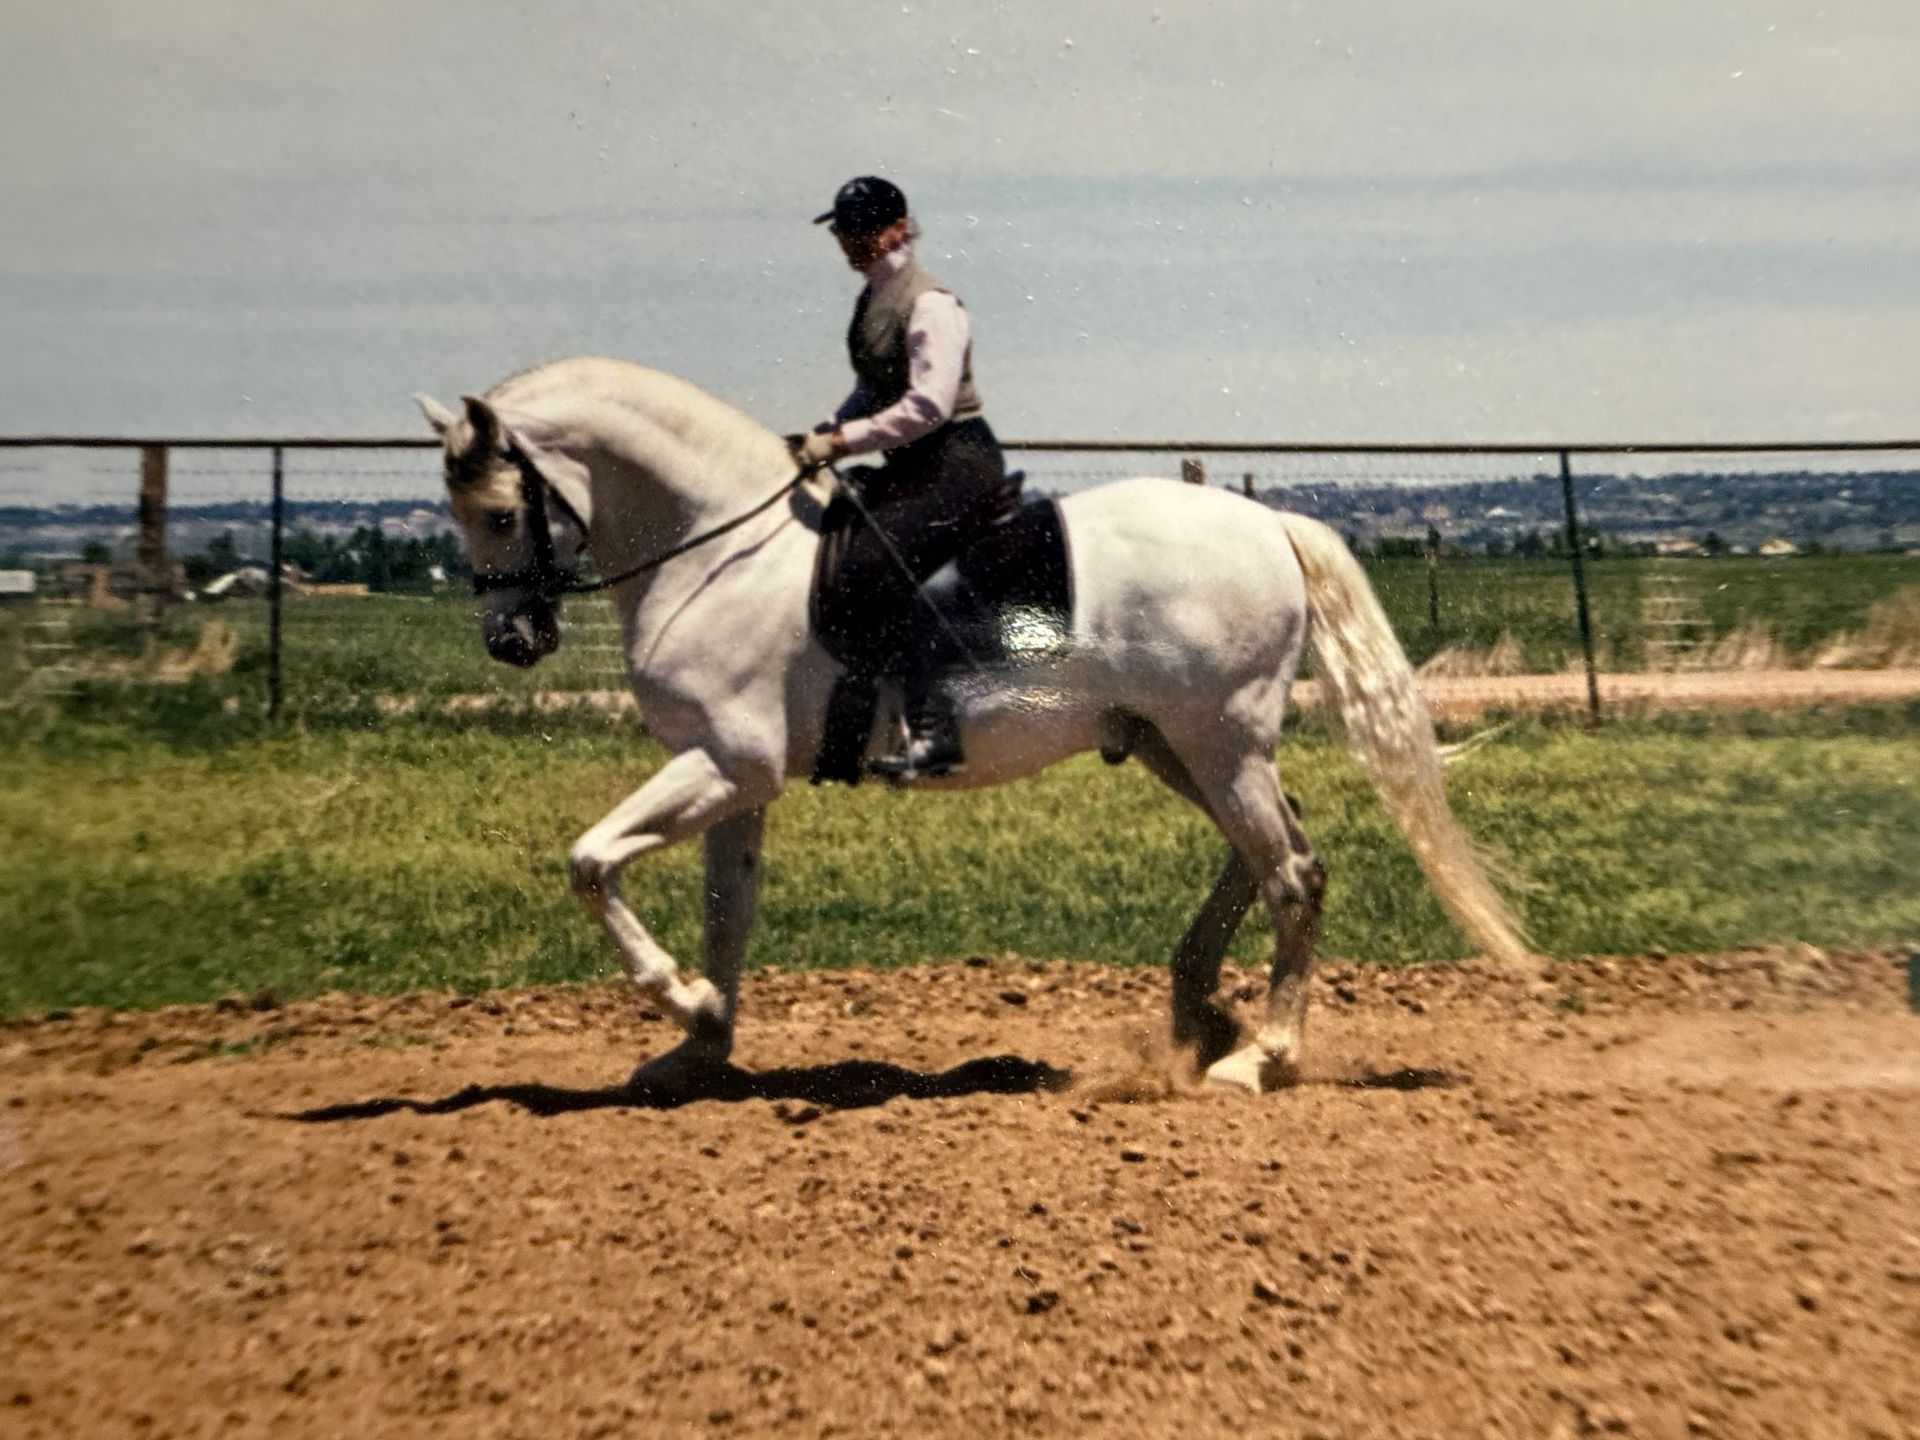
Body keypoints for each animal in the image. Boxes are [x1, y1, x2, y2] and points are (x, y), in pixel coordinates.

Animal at [415, 356, 1528, 1095]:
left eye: (502, 514)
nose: (511, 640)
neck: (717, 549)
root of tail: (1266, 523)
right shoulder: (736, 779)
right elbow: (728, 911)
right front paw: (698, 1046)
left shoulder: (727, 762)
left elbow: (589, 860)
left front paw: (683, 1001)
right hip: (1178, 742)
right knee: (1262, 855)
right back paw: (1201, 1011)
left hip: (1217, 738)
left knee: (1293, 871)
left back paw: (1259, 1057)